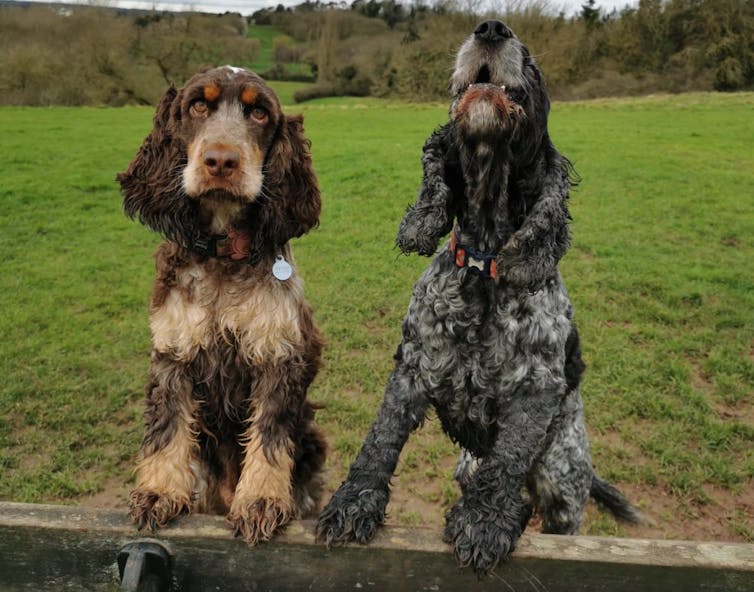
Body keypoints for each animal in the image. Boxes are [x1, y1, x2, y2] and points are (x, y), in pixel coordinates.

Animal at [117, 66, 326, 544]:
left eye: (259, 112)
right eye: (198, 105)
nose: (221, 161)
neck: (222, 252)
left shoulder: (278, 354)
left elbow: (269, 433)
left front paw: (261, 500)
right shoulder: (172, 353)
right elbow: (167, 427)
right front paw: (158, 490)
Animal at [318, 19, 640, 572]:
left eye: (533, 66)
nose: (491, 28)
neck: (484, 266)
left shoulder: (536, 390)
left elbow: (508, 458)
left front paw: (485, 522)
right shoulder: (413, 365)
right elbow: (380, 438)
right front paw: (353, 500)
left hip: (562, 481)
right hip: (468, 465)